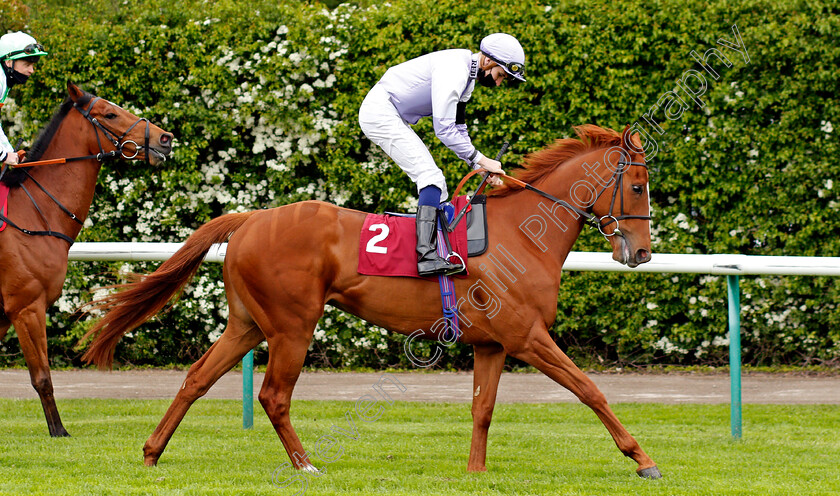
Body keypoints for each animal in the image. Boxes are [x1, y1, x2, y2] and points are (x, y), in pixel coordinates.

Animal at [0, 81, 172, 434]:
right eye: (110, 113)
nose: (165, 138)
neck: (33, 215)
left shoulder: (4, 314)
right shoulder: (26, 307)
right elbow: (42, 377)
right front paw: (58, 431)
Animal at [85, 126, 664, 478]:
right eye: (637, 186)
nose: (641, 252)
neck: (521, 234)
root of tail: (251, 217)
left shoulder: (493, 344)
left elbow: (482, 409)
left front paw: (475, 472)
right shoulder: (527, 337)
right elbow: (590, 389)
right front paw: (642, 458)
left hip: (247, 324)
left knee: (196, 379)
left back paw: (152, 452)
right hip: (292, 326)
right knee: (273, 395)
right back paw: (305, 465)